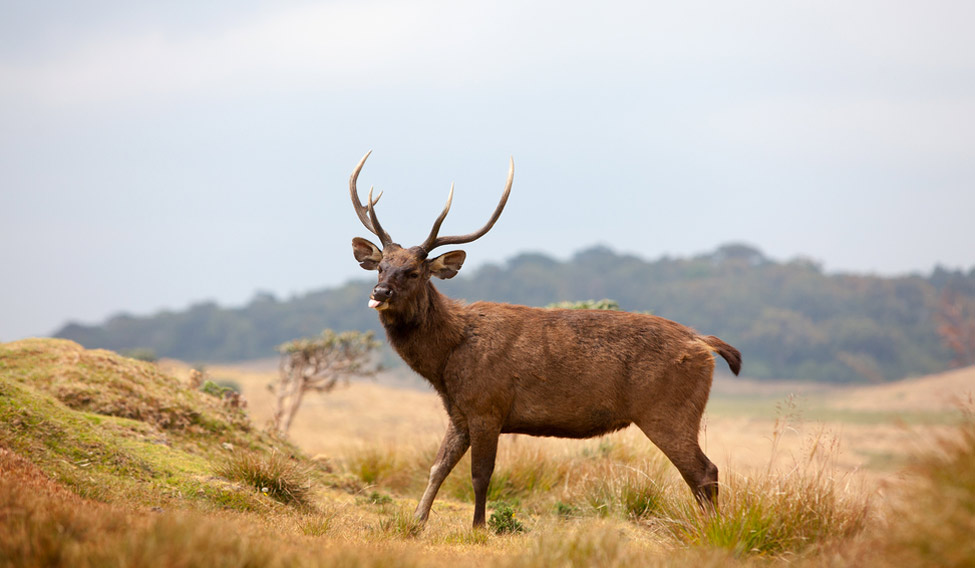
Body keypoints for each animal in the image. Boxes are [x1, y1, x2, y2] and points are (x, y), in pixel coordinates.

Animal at [348, 152, 740, 528]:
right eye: (381, 266)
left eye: (414, 272)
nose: (380, 292)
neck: (446, 360)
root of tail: (704, 343)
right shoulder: (459, 412)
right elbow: (437, 468)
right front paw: (417, 521)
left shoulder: (488, 405)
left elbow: (480, 475)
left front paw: (479, 527)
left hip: (668, 409)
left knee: (704, 471)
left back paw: (713, 531)